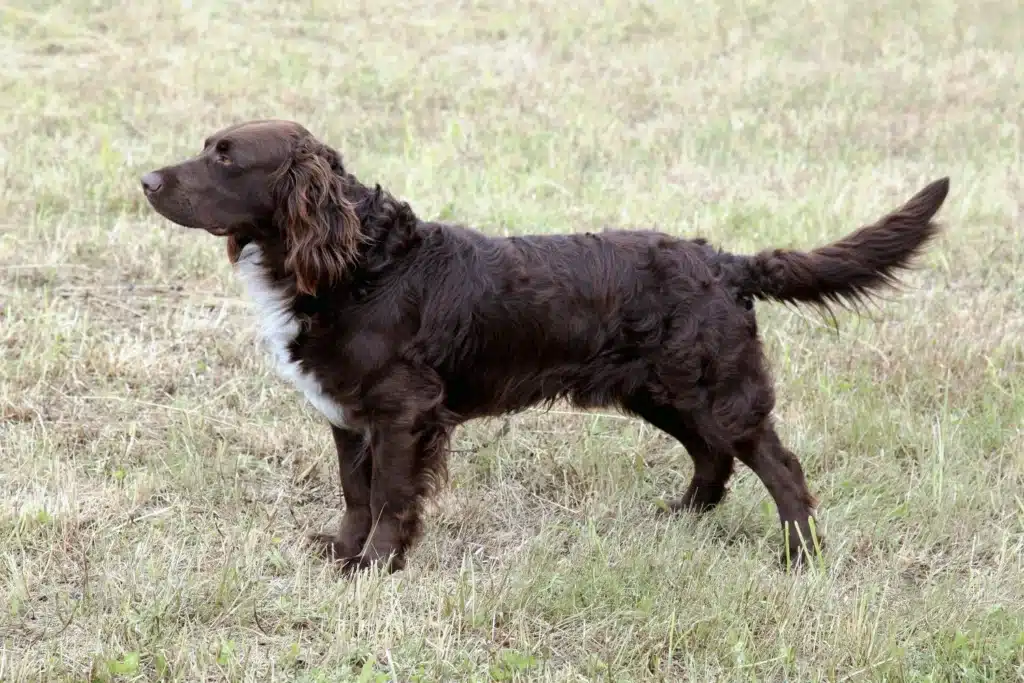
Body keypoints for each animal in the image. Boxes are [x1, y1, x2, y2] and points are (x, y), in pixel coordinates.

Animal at [140, 118, 946, 573]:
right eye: (207, 147)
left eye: (226, 158)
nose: (145, 178)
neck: (361, 264)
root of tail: (722, 262)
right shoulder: (347, 414)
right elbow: (355, 493)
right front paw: (342, 551)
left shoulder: (403, 413)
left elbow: (393, 496)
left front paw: (375, 567)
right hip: (661, 391)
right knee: (712, 458)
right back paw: (681, 517)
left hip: (715, 389)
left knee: (782, 468)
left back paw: (800, 559)